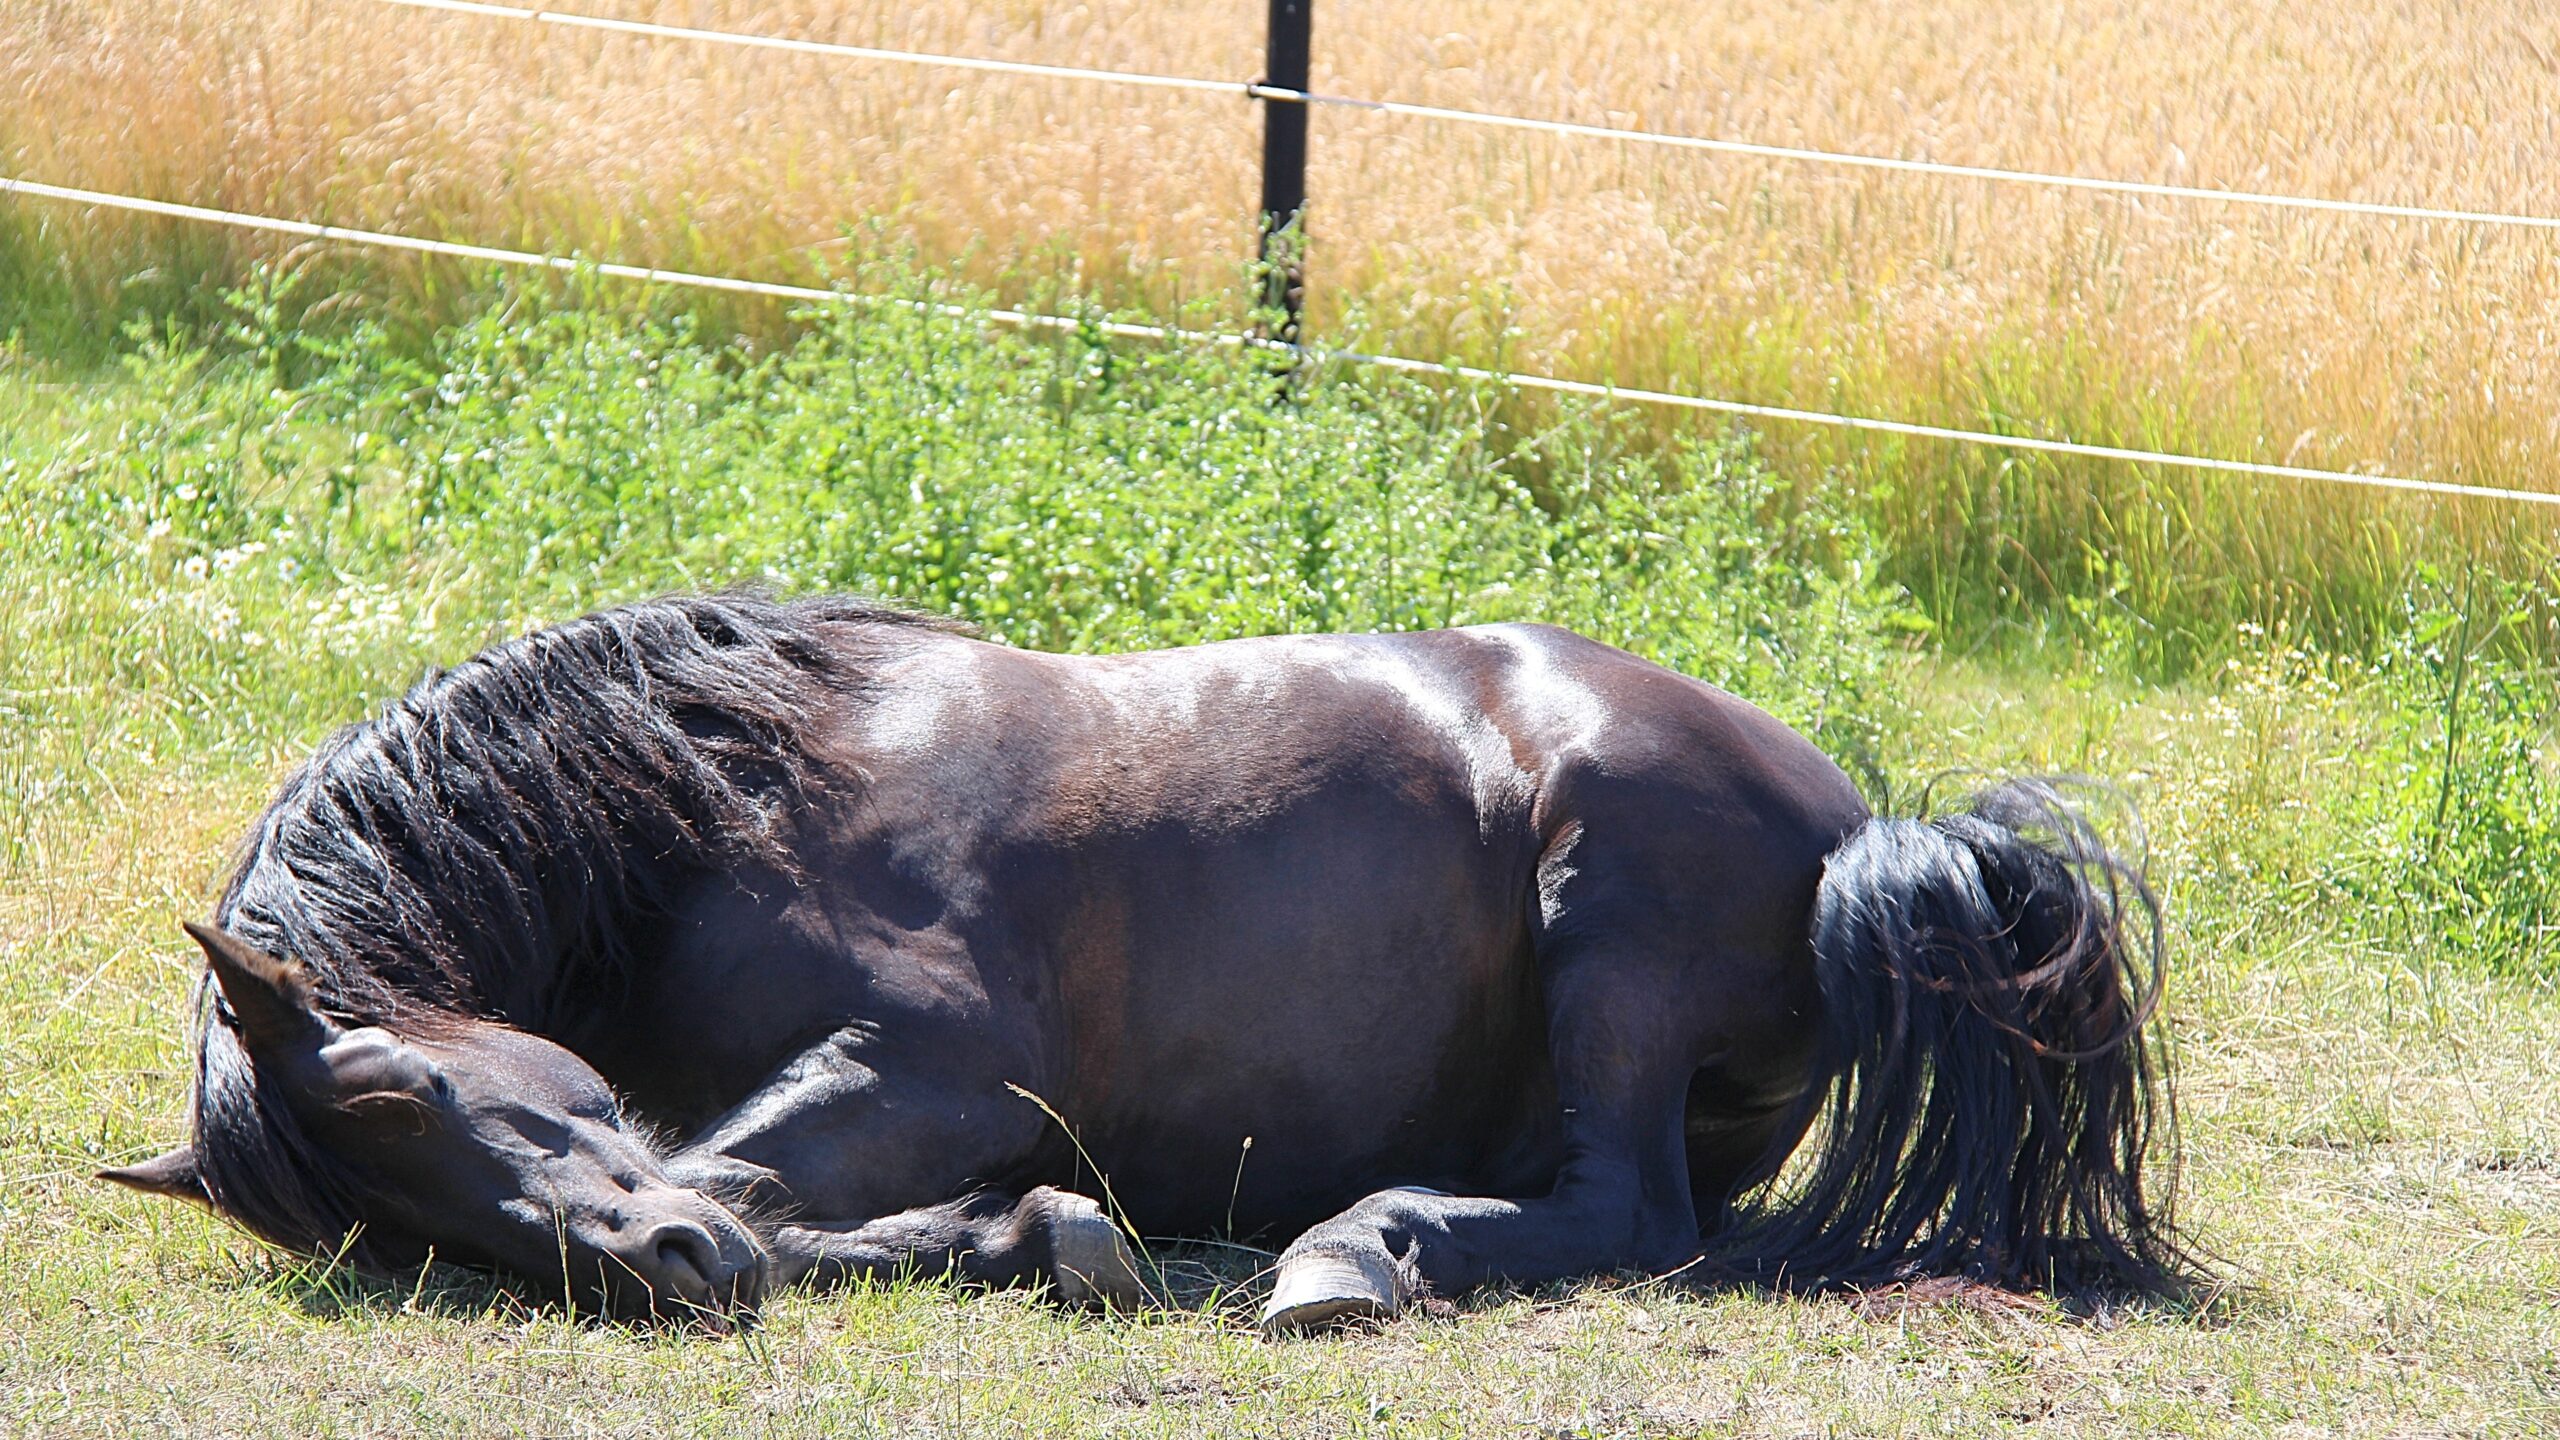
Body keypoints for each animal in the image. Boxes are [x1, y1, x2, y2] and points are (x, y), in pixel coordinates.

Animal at [101, 593, 2189, 1332]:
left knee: (1632, 1215)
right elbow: (760, 1194)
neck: (725, 795)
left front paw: (1031, 1236)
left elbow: (738, 1178)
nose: (654, 1281)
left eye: (392, 1089)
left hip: (1609, 921)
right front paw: (1019, 1239)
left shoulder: (940, 1069)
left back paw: (1353, 1258)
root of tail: (1861, 828)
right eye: (384, 1223)